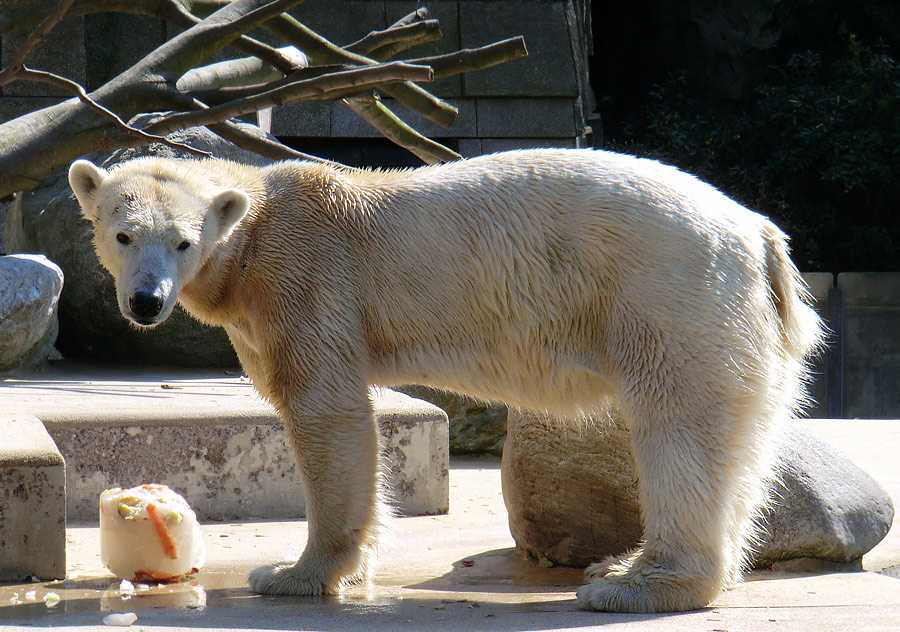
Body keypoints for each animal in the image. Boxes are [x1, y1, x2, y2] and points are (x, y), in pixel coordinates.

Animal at [68, 148, 824, 612]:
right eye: (123, 233)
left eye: (183, 241)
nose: (146, 301)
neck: (256, 229)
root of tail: (759, 235)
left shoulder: (306, 282)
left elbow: (325, 410)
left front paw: (294, 574)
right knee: (740, 441)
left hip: (667, 290)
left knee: (676, 423)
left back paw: (634, 583)